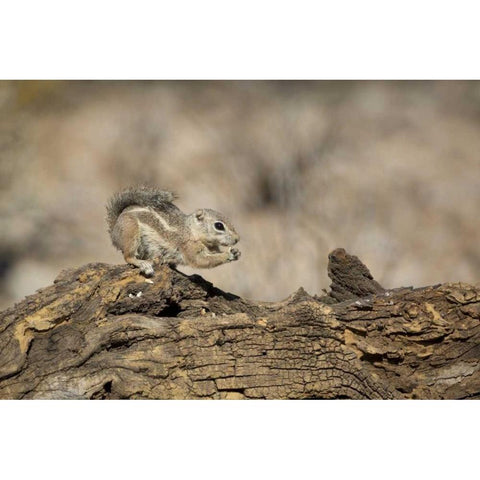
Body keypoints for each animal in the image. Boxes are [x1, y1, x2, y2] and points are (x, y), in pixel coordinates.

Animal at [105, 187, 240, 278]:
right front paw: (228, 254)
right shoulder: (188, 247)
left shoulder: (212, 249)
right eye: (219, 226)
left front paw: (236, 252)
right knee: (128, 257)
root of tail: (114, 229)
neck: (191, 231)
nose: (237, 239)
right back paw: (143, 264)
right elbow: (201, 260)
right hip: (131, 234)